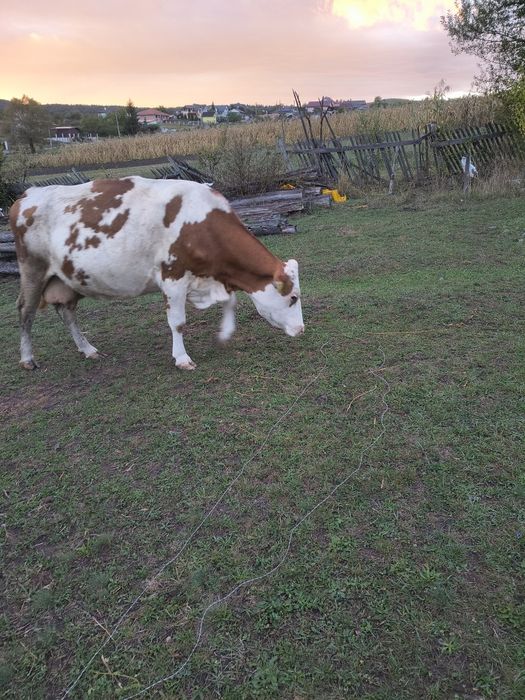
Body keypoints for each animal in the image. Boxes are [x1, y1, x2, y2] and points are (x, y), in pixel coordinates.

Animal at [10, 177, 304, 371]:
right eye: (293, 298)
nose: (301, 330)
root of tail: (27, 195)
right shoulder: (173, 277)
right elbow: (178, 322)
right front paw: (182, 358)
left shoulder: (213, 276)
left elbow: (229, 303)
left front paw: (225, 334)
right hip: (33, 268)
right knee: (26, 311)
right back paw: (27, 359)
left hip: (67, 278)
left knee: (67, 311)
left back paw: (87, 349)